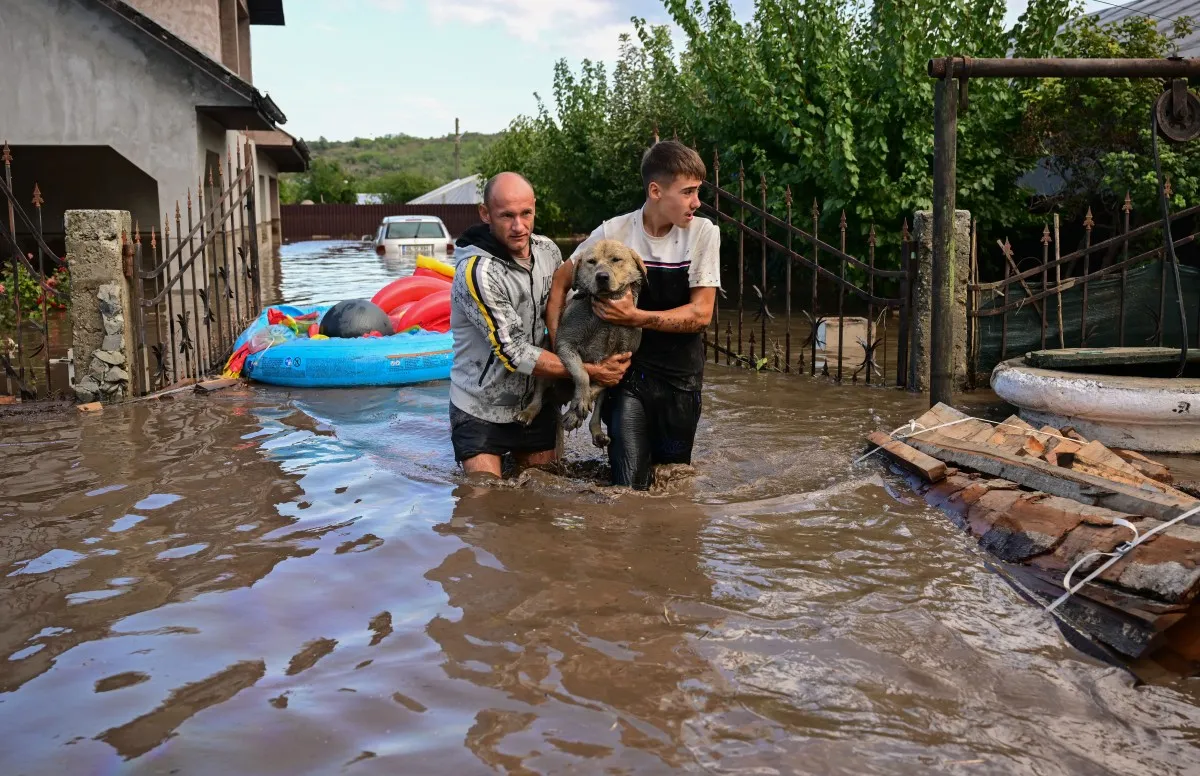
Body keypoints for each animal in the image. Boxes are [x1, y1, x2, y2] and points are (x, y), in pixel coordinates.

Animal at [516, 239, 648, 448]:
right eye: (591, 262)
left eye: (616, 259)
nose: (602, 277)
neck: (605, 317)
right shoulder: (565, 345)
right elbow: (582, 373)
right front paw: (578, 406)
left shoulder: (622, 362)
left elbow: (597, 386)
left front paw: (574, 413)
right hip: (544, 358)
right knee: (538, 393)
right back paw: (529, 412)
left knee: (597, 410)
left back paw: (597, 432)